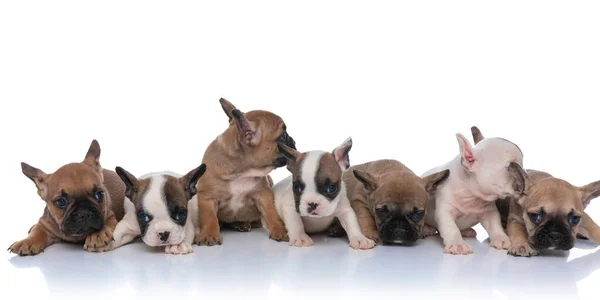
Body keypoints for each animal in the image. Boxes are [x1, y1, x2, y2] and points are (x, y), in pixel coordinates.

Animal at [195, 98, 296, 246]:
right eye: (283, 136)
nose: (293, 140)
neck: (242, 172)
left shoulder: (263, 194)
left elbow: (271, 213)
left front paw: (279, 230)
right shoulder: (207, 197)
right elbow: (209, 217)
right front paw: (209, 234)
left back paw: (241, 224)